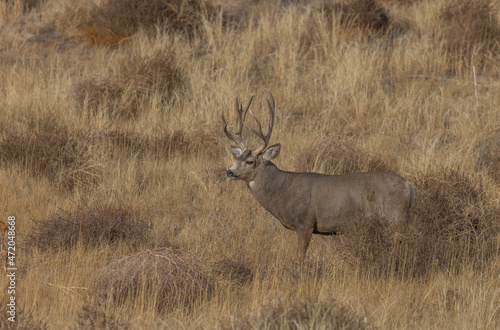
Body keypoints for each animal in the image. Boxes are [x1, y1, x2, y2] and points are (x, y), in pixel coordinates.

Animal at [222, 94, 414, 264]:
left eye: (250, 161)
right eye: (237, 158)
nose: (229, 172)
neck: (282, 191)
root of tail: (408, 185)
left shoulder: (305, 223)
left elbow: (300, 258)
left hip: (394, 217)